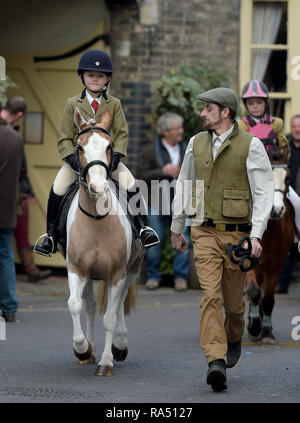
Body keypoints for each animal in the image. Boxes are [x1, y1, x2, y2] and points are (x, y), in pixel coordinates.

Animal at [60, 107, 144, 376]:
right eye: (79, 147)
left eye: (109, 146)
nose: (98, 186)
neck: (97, 219)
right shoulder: (77, 269)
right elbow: (75, 304)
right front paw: (82, 348)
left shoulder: (116, 274)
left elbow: (110, 317)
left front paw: (106, 361)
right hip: (90, 275)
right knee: (88, 305)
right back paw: (91, 349)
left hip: (131, 271)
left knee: (118, 307)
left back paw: (119, 346)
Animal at [246, 164, 296, 346]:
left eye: (287, 178)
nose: (275, 210)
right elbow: (254, 292)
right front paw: (254, 328)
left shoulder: (276, 265)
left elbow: (267, 299)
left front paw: (266, 332)